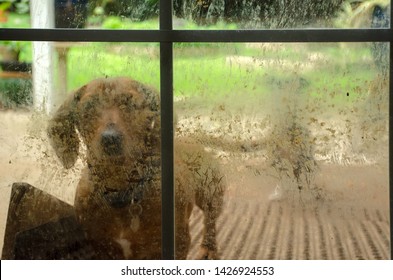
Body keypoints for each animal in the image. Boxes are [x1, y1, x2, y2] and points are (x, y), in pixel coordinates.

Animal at [46, 77, 224, 260]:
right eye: (88, 106)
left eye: (132, 104)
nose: (110, 139)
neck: (122, 194)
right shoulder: (100, 246)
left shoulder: (179, 242)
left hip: (211, 195)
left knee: (210, 220)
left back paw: (209, 247)